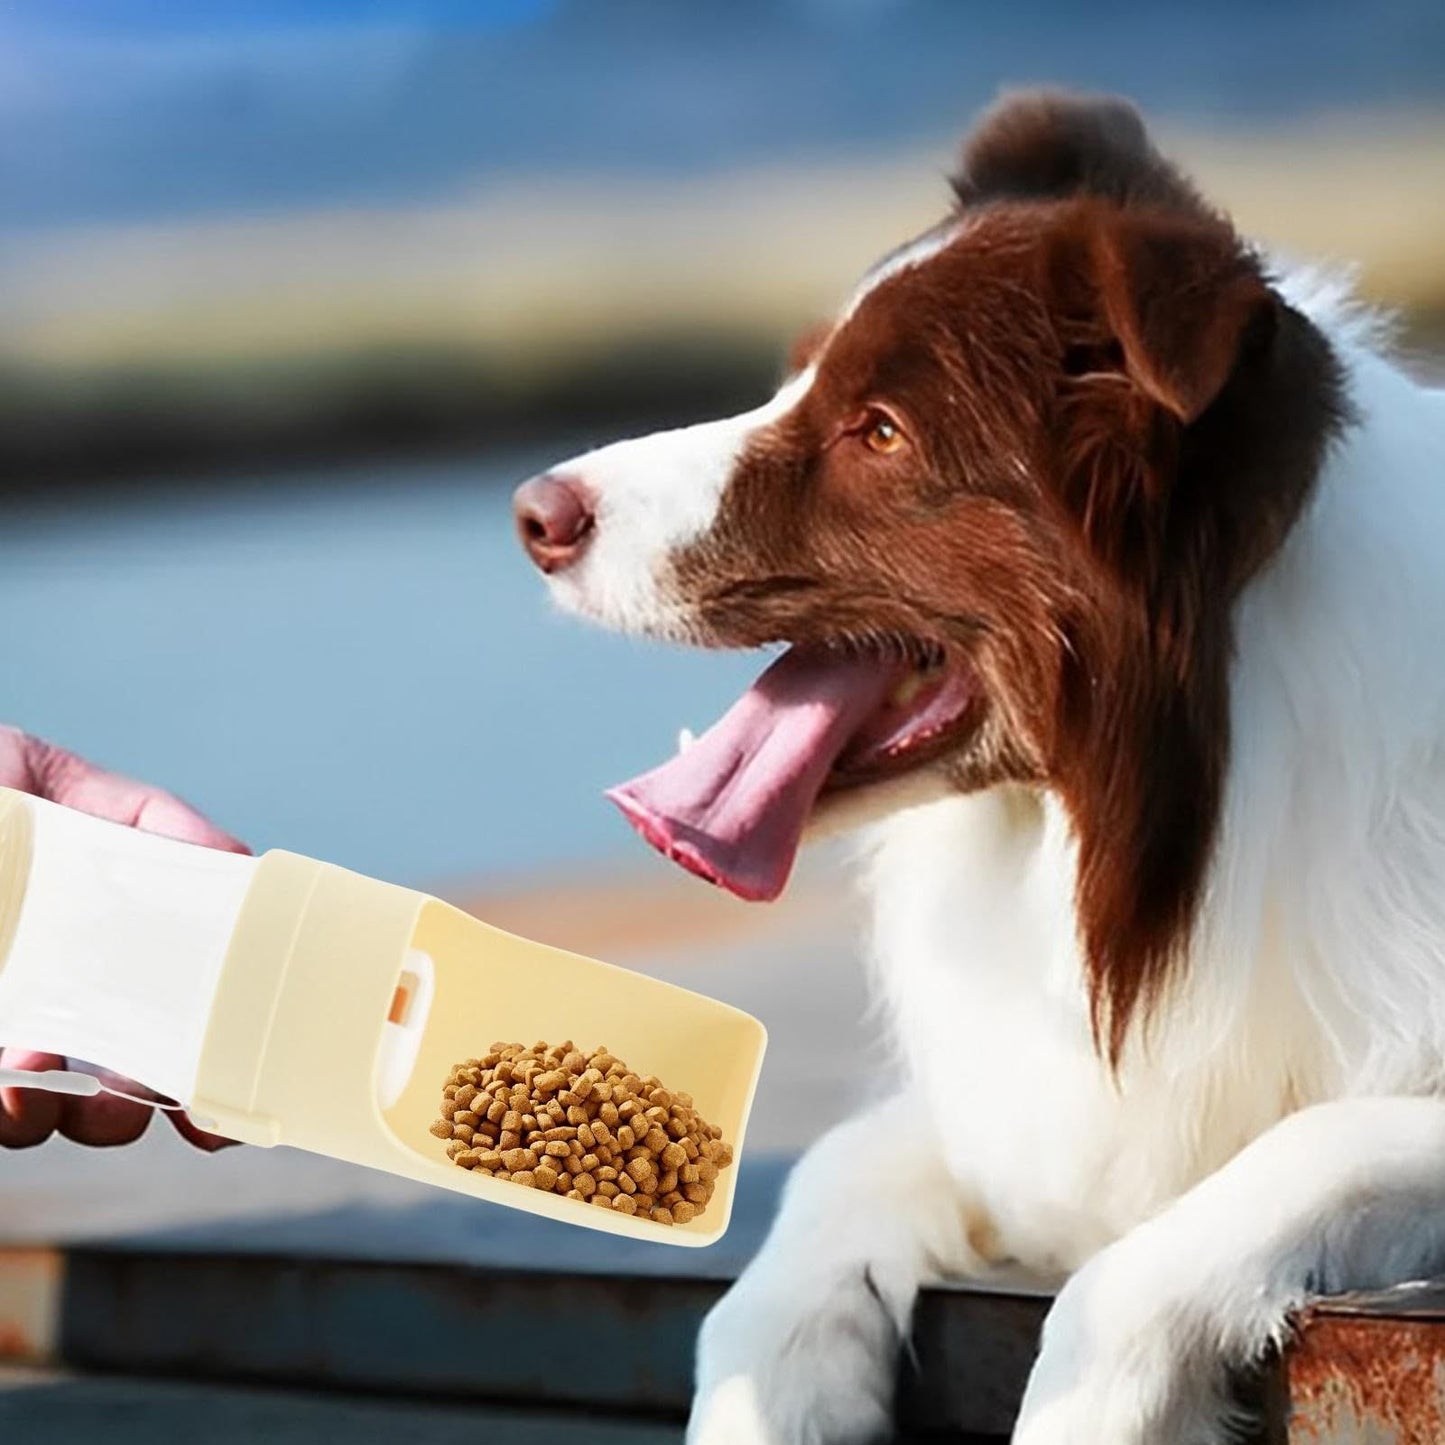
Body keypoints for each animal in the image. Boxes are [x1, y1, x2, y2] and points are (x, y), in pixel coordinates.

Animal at [514, 93, 1445, 1445]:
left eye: (879, 431)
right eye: (796, 374)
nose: (532, 512)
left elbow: (1288, 1159)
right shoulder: (1019, 1100)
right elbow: (836, 1169)